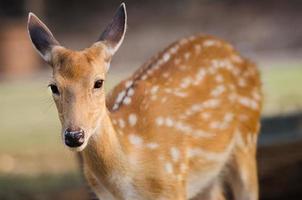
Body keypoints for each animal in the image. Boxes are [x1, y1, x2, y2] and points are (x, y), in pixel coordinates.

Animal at [26, 2, 262, 200]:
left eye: (98, 82)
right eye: (53, 86)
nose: (74, 136)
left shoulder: (173, 185)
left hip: (247, 137)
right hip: (208, 175)